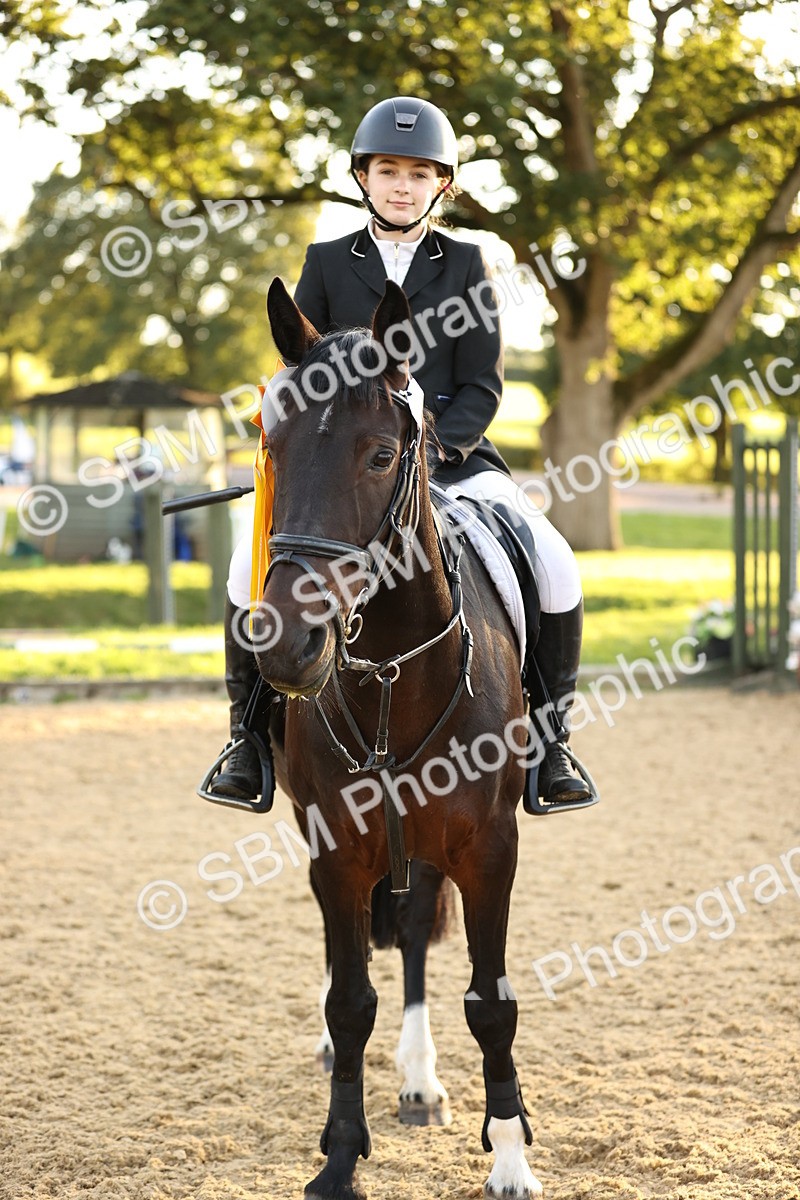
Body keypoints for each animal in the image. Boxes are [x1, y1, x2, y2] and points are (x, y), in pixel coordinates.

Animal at [254, 276, 542, 1199]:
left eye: (382, 455)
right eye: (272, 446)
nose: (287, 646)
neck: (388, 669)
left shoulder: (489, 847)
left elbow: (492, 1002)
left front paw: (511, 1156)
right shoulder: (336, 845)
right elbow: (350, 1002)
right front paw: (340, 1157)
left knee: (414, 932)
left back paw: (420, 1079)